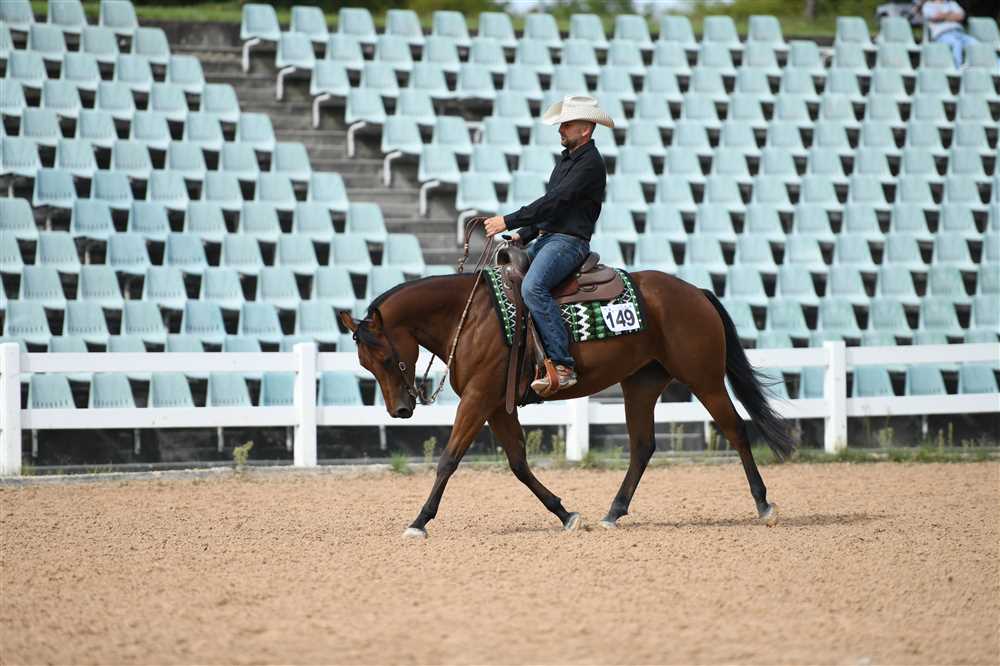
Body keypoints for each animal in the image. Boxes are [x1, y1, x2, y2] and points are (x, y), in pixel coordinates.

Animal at [338, 263, 795, 538]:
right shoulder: (495, 404)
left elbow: (449, 459)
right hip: (641, 384)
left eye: (384, 357)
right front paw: (565, 513)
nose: (400, 410)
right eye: (364, 362)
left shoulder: (479, 398)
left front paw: (419, 521)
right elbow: (519, 464)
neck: (470, 317)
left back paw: (764, 504)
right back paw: (613, 512)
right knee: (643, 446)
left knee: (736, 430)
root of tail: (696, 292)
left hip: (704, 378)